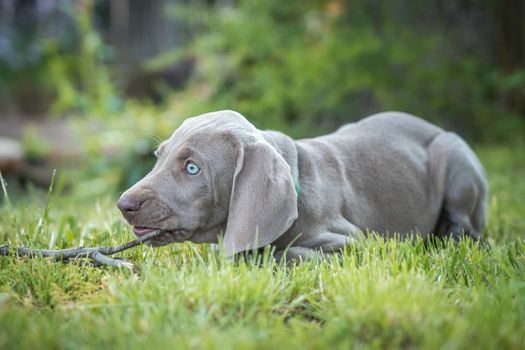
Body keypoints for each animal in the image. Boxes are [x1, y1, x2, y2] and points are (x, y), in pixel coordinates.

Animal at [118, 110, 488, 262]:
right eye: (159, 157)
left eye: (192, 168)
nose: (124, 205)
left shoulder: (356, 243)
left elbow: (286, 253)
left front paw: (259, 257)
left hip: (451, 152)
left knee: (467, 228)